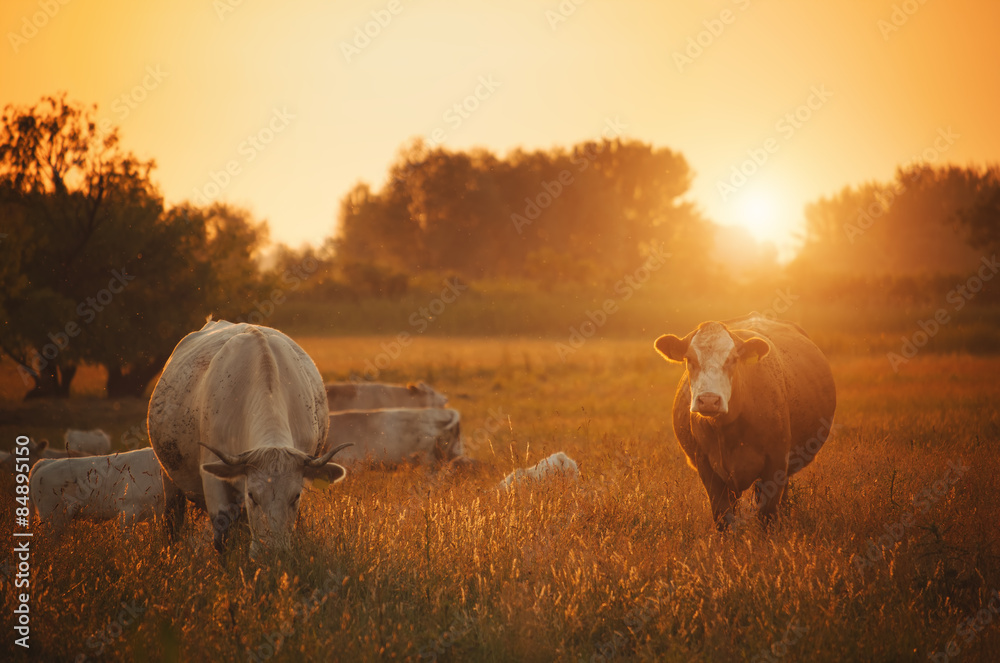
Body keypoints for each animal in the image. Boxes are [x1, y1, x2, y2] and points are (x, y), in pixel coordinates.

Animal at [147, 319, 348, 555]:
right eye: (252, 495)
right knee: (173, 520)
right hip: (169, 479)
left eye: (296, 496)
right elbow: (222, 534)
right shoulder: (213, 478)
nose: (272, 551)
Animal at [653, 314, 837, 530]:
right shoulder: (707, 467)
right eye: (689, 359)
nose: (709, 400)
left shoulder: (776, 463)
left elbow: (767, 514)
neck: (727, 430)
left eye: (733, 359)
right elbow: (724, 517)